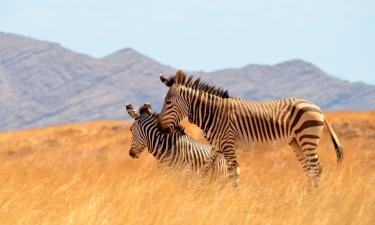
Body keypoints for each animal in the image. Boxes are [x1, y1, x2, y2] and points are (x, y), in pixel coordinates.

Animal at [157, 69, 346, 187]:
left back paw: (313, 198)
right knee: (309, 169)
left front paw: (234, 198)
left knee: (316, 168)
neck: (214, 114)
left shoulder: (228, 144)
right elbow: (204, 169)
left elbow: (233, 173)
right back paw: (307, 196)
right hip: (296, 142)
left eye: (168, 103)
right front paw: (198, 191)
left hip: (307, 138)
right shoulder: (217, 146)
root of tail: (317, 107)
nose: (159, 127)